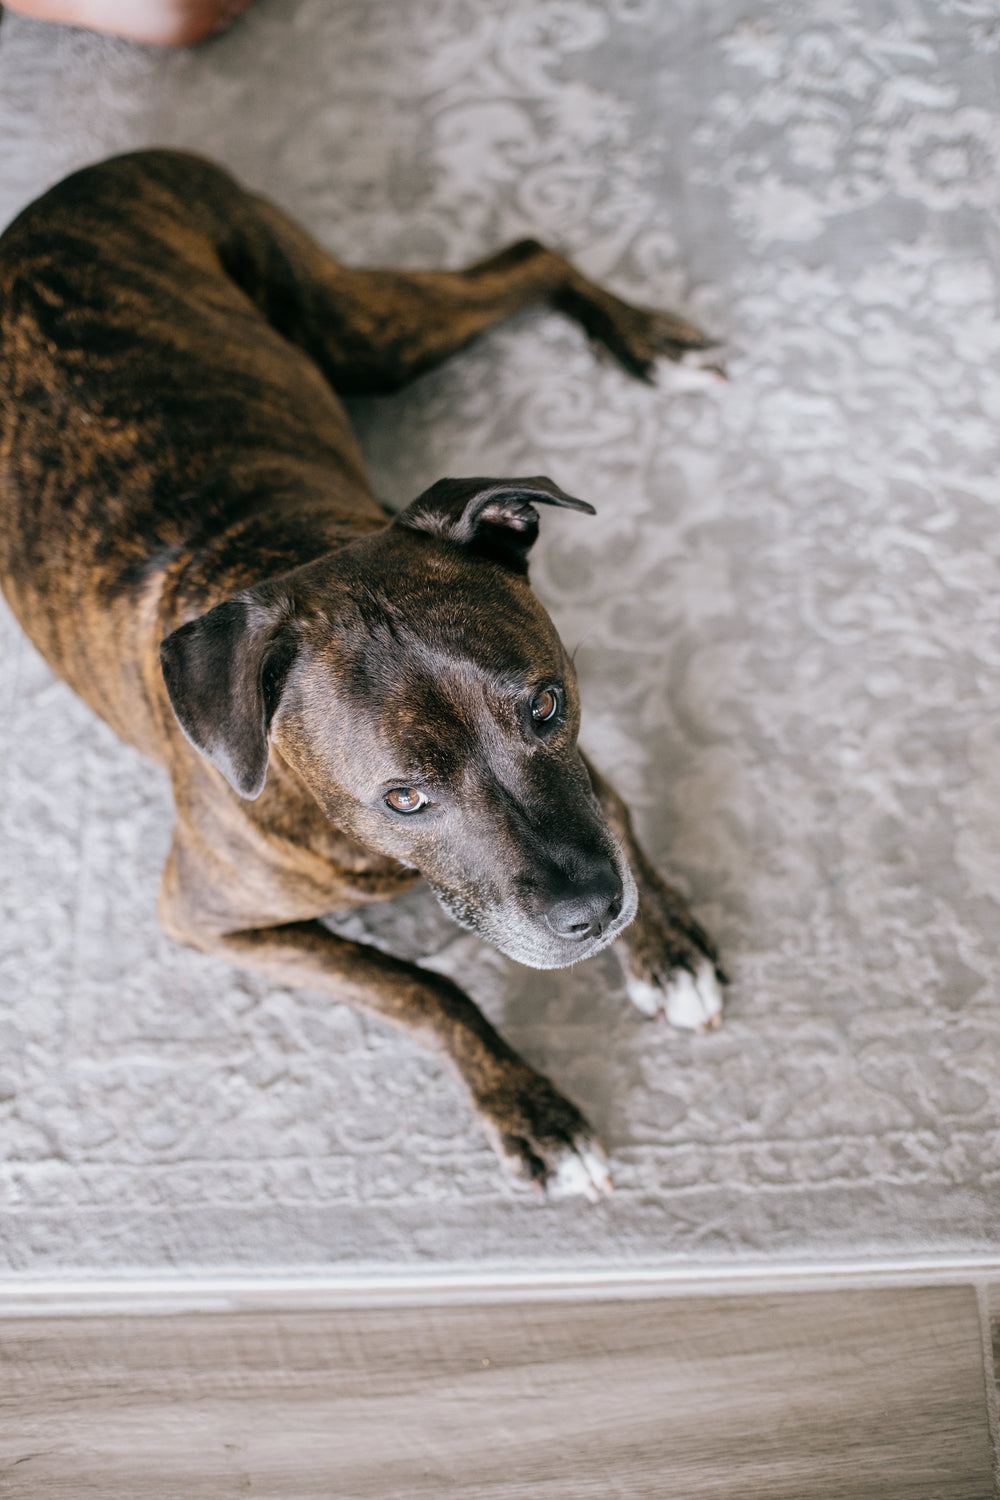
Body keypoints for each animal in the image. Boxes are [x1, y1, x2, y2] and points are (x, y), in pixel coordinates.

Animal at [0, 152, 722, 1200]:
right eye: (404, 797)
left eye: (547, 704)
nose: (593, 914)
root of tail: (66, 191)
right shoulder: (209, 920)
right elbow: (424, 987)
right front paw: (534, 1112)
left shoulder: (577, 756)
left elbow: (616, 811)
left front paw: (663, 946)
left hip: (357, 330)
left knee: (527, 255)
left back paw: (648, 343)